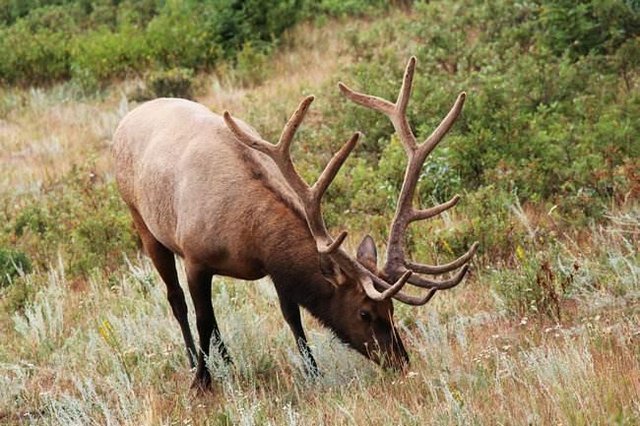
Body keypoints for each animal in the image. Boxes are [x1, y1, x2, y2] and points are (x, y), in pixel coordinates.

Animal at [114, 56, 476, 390]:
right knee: (176, 300)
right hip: (142, 221)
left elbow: (292, 317)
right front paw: (202, 382)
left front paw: (313, 373)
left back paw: (228, 362)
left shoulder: (275, 266)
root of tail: (125, 120)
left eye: (391, 309)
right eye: (364, 312)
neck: (248, 237)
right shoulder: (195, 258)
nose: (401, 360)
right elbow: (203, 318)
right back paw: (194, 362)